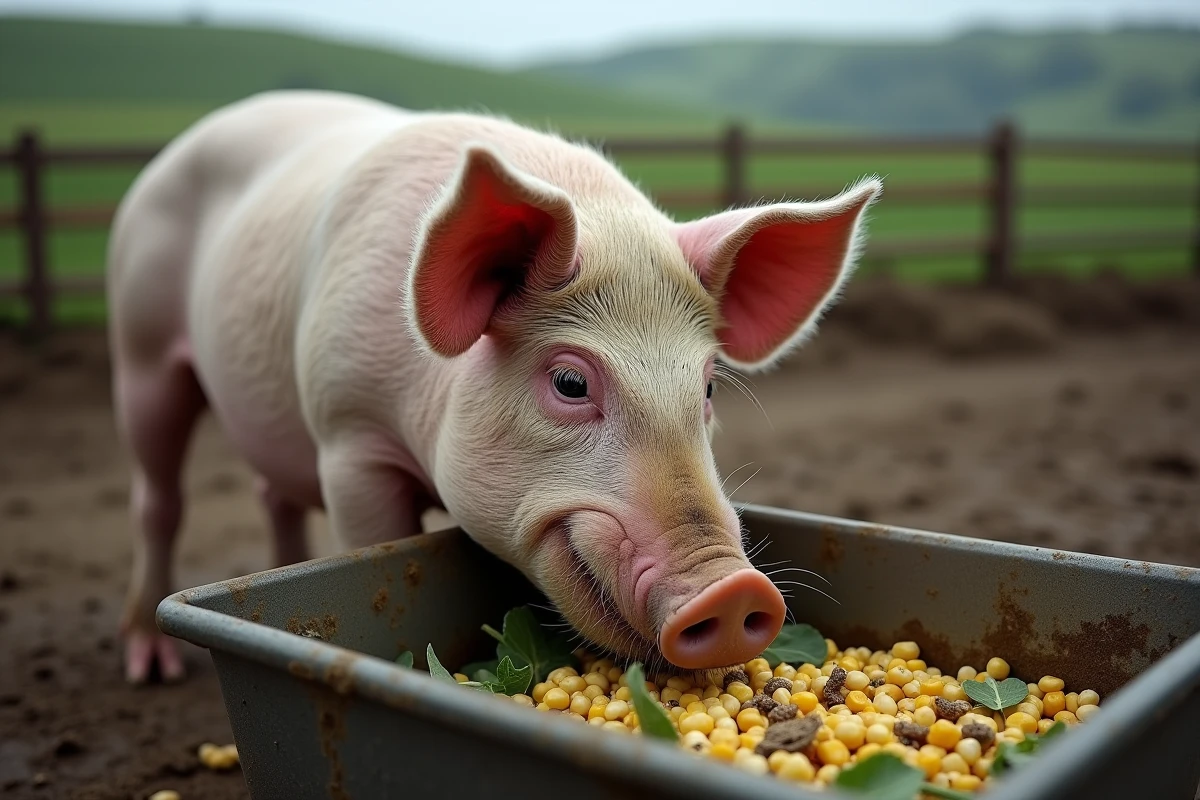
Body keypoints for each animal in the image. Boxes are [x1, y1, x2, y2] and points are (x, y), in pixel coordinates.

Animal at [106, 90, 882, 684]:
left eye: (711, 387)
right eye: (569, 381)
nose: (734, 588)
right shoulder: (349, 433)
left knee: (271, 492)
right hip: (140, 344)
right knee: (156, 496)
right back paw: (149, 667)